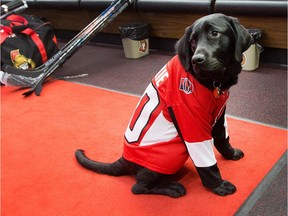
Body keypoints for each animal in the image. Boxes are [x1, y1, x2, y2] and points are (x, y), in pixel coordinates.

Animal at [75, 13, 252, 198]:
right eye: (192, 41)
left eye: (215, 33)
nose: (196, 60)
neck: (214, 83)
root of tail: (123, 159)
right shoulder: (191, 123)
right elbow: (206, 160)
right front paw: (218, 185)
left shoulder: (219, 114)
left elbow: (222, 138)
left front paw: (231, 153)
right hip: (172, 152)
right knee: (138, 187)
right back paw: (171, 188)